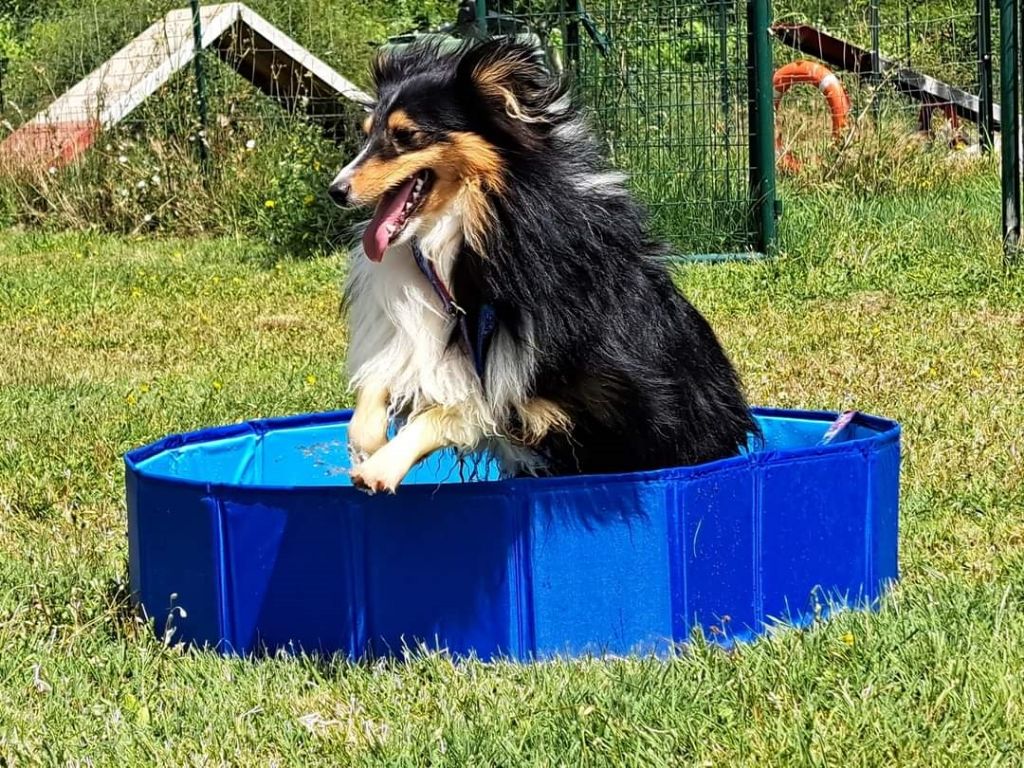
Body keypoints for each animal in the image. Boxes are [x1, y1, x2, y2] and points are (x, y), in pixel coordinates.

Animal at [331, 37, 757, 493]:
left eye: (406, 136)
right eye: (366, 135)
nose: (336, 191)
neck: (467, 231)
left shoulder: (563, 395)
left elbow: (459, 410)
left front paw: (382, 465)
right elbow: (376, 389)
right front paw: (370, 446)